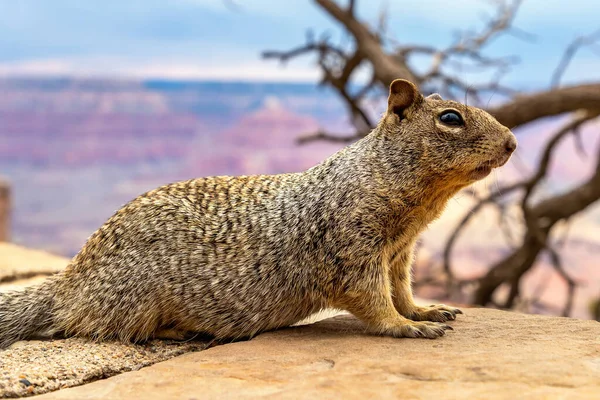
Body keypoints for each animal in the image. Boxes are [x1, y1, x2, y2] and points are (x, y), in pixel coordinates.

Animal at [0, 79, 516, 348]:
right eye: (450, 118)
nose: (512, 142)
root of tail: (69, 282)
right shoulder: (353, 248)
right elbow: (373, 300)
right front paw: (408, 327)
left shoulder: (399, 253)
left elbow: (402, 290)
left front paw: (425, 309)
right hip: (132, 296)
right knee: (100, 327)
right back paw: (179, 331)